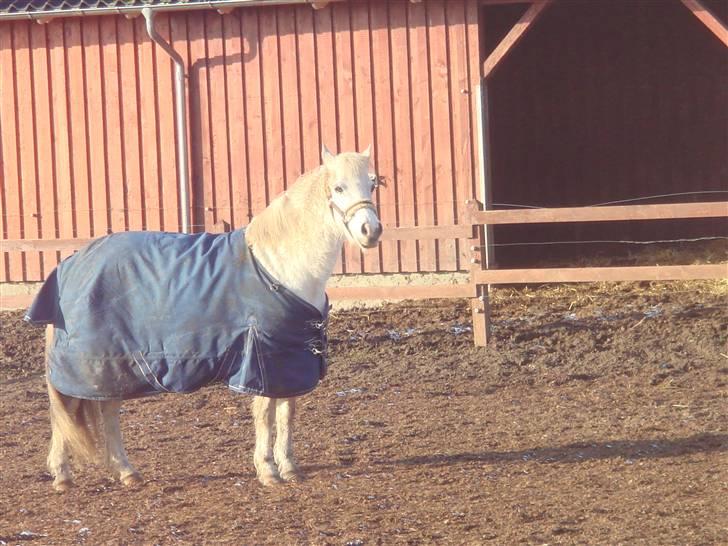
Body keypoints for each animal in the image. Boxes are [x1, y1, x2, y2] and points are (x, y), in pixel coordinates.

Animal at [26, 145, 382, 491]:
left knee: (107, 412)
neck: (278, 267)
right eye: (338, 187)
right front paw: (268, 471)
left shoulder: (289, 361)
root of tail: (70, 265)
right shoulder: (261, 362)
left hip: (111, 370)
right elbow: (265, 415)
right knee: (66, 413)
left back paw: (127, 473)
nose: (372, 231)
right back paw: (63, 476)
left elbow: (286, 414)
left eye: (373, 184)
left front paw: (289, 467)